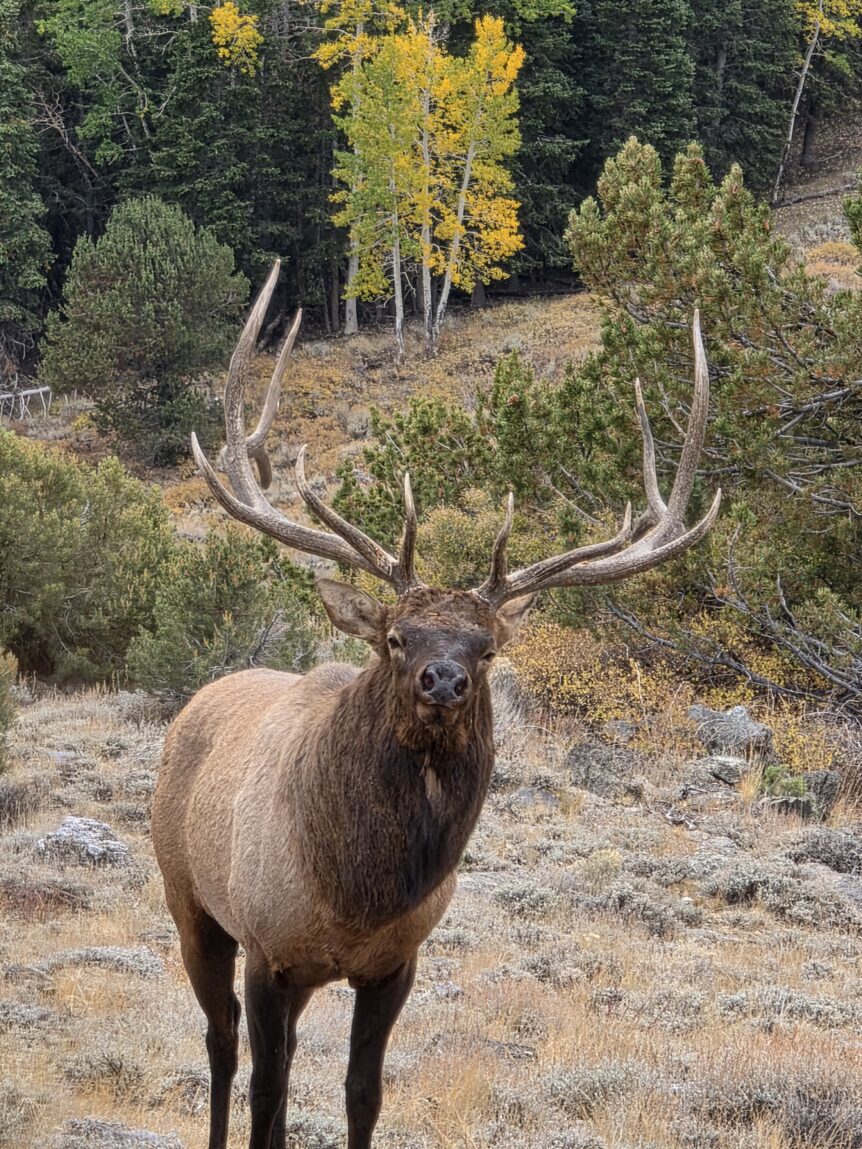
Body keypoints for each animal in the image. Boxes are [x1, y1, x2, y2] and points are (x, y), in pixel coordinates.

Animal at [151, 261, 721, 1149]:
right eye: (396, 636)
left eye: (486, 648)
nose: (443, 680)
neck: (355, 893)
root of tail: (193, 706)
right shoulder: (267, 945)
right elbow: (267, 1091)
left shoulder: (397, 960)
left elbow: (362, 1092)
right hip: (191, 902)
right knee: (220, 1046)